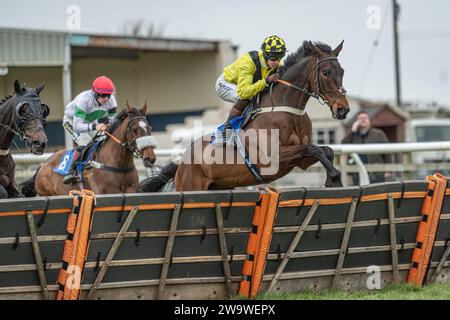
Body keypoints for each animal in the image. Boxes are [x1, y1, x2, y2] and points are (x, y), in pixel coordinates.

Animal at [141, 39, 348, 190]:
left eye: (342, 71)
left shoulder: (301, 162)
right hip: (191, 187)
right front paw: (334, 177)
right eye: (326, 72)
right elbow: (314, 148)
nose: (343, 109)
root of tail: (181, 161)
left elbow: (324, 150)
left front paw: (333, 179)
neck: (287, 110)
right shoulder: (271, 158)